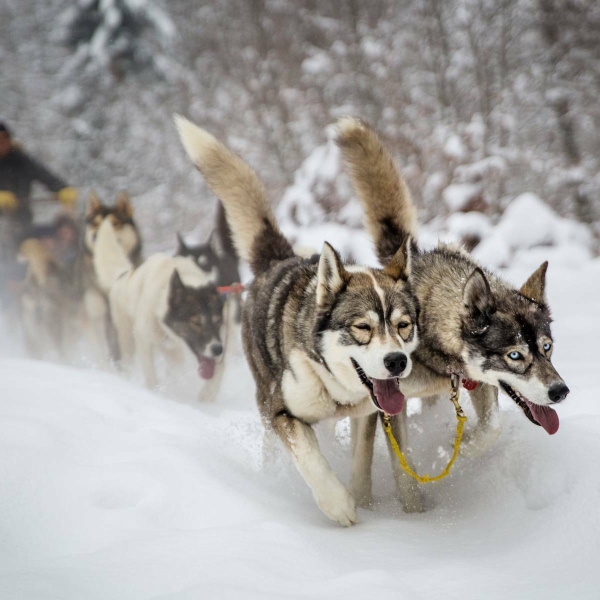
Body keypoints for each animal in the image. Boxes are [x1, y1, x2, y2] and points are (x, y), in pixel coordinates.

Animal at [91, 216, 225, 394]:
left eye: (217, 320)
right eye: (196, 322)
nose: (218, 349)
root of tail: (124, 275)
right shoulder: (143, 339)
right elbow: (151, 376)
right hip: (126, 341)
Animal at [176, 113, 422, 524]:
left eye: (404, 326)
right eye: (362, 328)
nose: (396, 361)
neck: (331, 383)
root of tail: (279, 259)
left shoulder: (369, 411)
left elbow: (362, 459)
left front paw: (363, 498)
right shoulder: (283, 413)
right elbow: (309, 458)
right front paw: (339, 504)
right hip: (264, 402)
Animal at [336, 116, 568, 506]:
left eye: (547, 348)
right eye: (515, 355)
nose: (560, 392)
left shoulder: (478, 385)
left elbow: (490, 429)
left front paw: (456, 446)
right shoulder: (389, 400)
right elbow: (403, 464)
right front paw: (414, 510)